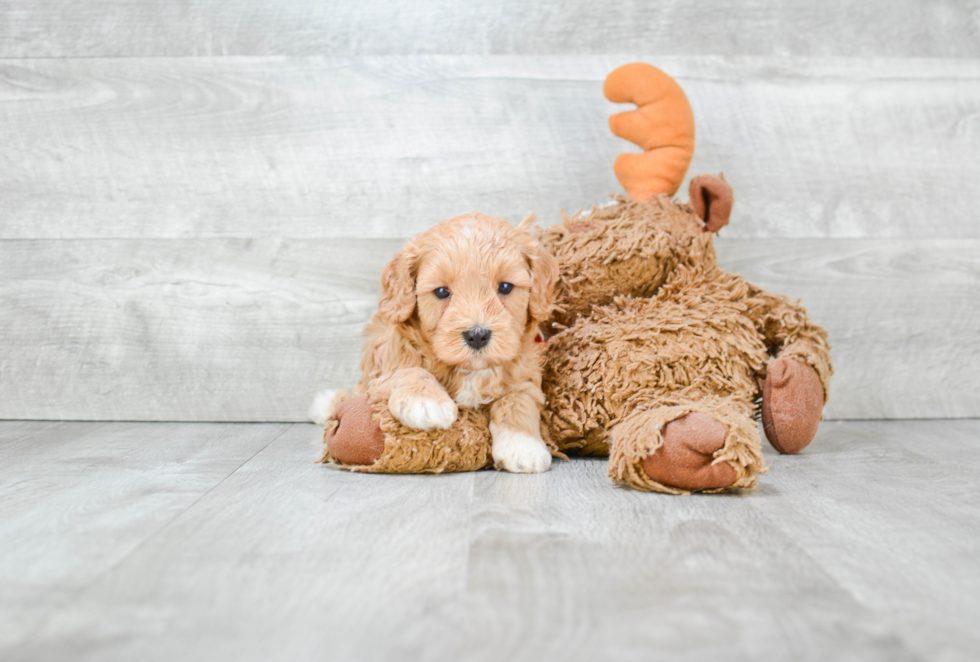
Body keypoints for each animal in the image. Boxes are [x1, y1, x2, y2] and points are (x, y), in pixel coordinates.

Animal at [316, 213, 556, 472]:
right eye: (441, 292)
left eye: (505, 287)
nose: (477, 335)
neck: (470, 371)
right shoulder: (387, 361)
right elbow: (408, 370)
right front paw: (426, 402)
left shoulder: (525, 374)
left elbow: (518, 400)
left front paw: (523, 447)